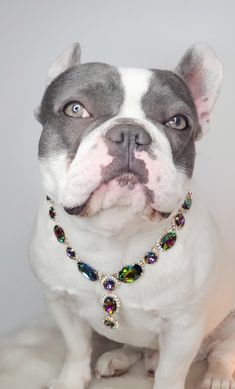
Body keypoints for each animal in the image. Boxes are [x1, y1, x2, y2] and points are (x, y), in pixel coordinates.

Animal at [29, 42, 235, 388]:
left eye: (178, 121)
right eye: (75, 109)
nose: (129, 133)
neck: (115, 235)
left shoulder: (183, 329)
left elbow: (170, 374)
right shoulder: (59, 301)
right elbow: (76, 348)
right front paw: (70, 379)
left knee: (222, 351)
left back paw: (217, 376)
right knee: (136, 347)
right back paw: (120, 359)